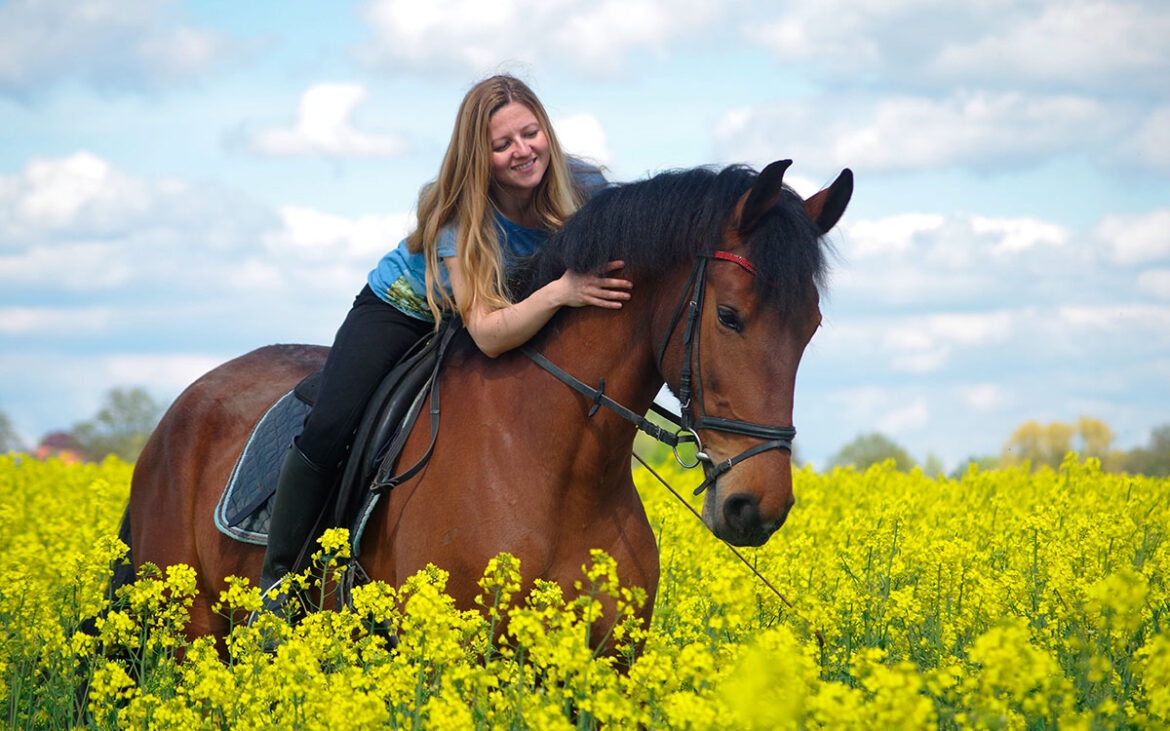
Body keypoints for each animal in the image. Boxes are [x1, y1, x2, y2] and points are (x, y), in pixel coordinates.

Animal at [128, 157, 856, 636]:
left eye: (813, 326)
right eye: (730, 316)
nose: (756, 508)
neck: (555, 467)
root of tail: (178, 411)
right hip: (187, 630)